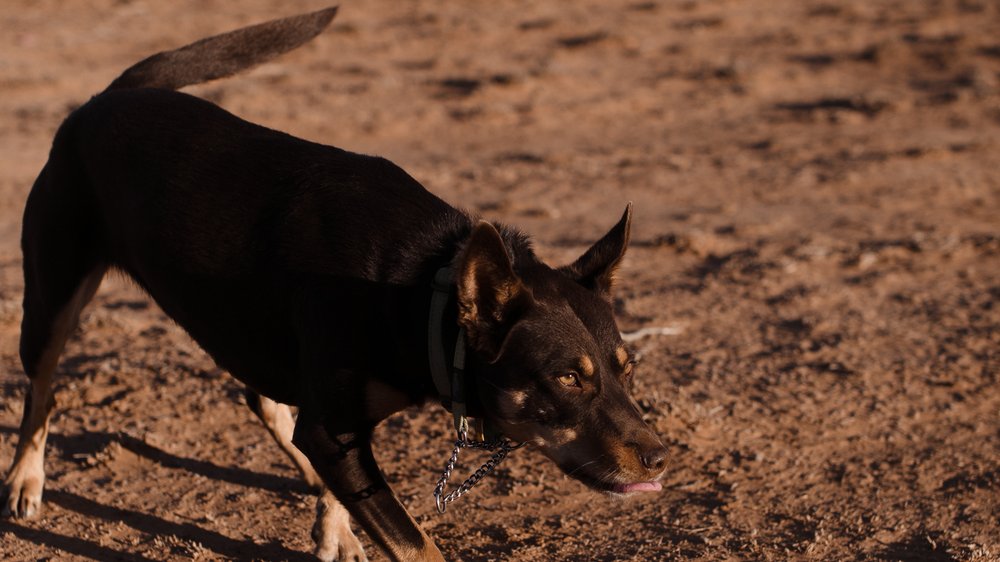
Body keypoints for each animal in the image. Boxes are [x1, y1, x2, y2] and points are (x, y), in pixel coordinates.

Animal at [3, 8, 668, 560]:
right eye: (566, 378)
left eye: (628, 369)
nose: (661, 456)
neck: (418, 289)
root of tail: (106, 97)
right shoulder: (334, 425)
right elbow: (416, 543)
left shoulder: (334, 422)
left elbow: (342, 473)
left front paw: (335, 528)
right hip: (52, 298)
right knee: (41, 393)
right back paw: (24, 481)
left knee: (262, 398)